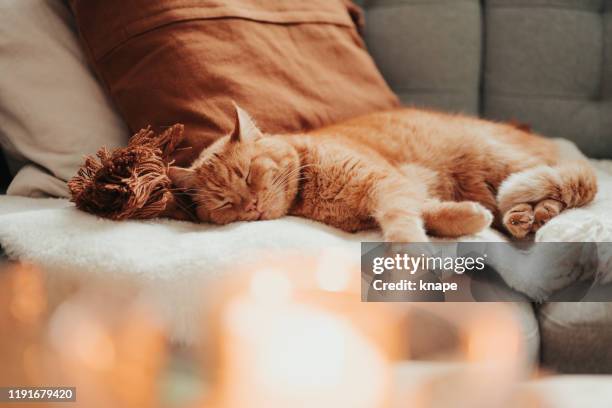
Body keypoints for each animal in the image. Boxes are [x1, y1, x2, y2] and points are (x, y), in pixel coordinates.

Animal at [169, 103, 596, 242]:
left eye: (247, 175)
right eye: (225, 203)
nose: (251, 206)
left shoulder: (387, 186)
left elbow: (403, 223)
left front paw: (410, 255)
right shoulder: (402, 193)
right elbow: (432, 215)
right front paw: (468, 219)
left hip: (496, 159)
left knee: (581, 183)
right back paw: (526, 217)